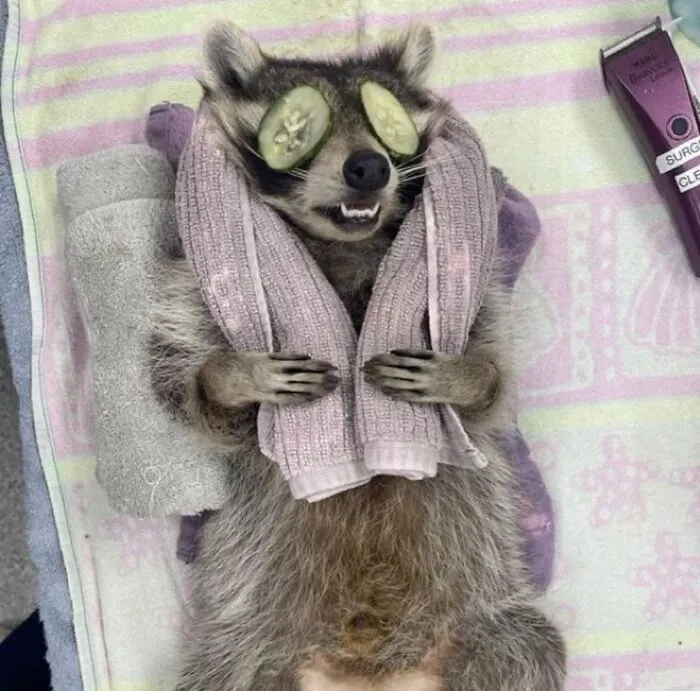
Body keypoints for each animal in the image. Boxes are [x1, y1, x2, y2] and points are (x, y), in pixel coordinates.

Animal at [151, 21, 566, 691]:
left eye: (385, 121)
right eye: (300, 131)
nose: (368, 167)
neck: (345, 245)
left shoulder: (480, 297)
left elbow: (490, 386)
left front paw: (466, 376)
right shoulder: (191, 289)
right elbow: (193, 395)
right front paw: (230, 376)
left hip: (490, 626)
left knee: (528, 647)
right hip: (243, 651)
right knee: (225, 672)